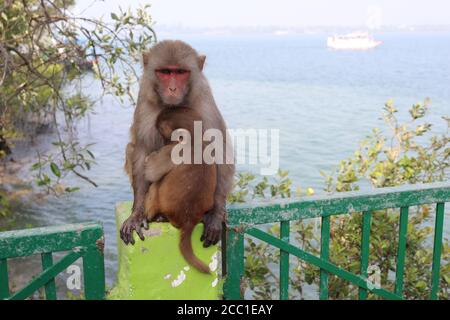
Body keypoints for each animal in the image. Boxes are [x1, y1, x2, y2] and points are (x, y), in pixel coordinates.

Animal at [122, 40, 236, 248]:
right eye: (165, 72)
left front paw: (216, 214)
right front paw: (136, 214)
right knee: (131, 148)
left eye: (181, 72)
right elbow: (141, 150)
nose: (173, 89)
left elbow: (220, 150)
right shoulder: (144, 100)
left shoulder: (204, 101)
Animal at [143, 107, 215, 272]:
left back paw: (152, 216)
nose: (163, 143)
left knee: (156, 183)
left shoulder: (172, 150)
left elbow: (151, 173)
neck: (194, 140)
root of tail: (189, 220)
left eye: (164, 134)